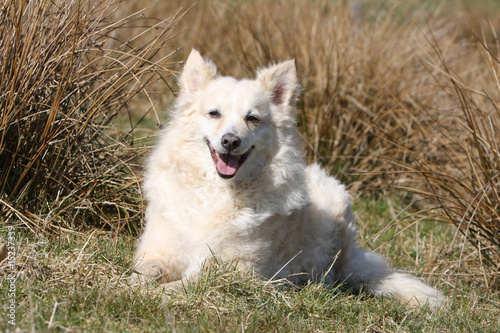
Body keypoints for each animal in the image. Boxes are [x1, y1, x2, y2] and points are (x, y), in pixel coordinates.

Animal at [131, 48, 444, 306]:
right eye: (214, 113)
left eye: (252, 118)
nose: (230, 141)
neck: (220, 190)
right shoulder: (158, 250)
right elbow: (142, 271)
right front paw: (133, 285)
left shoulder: (236, 269)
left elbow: (185, 284)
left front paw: (156, 293)